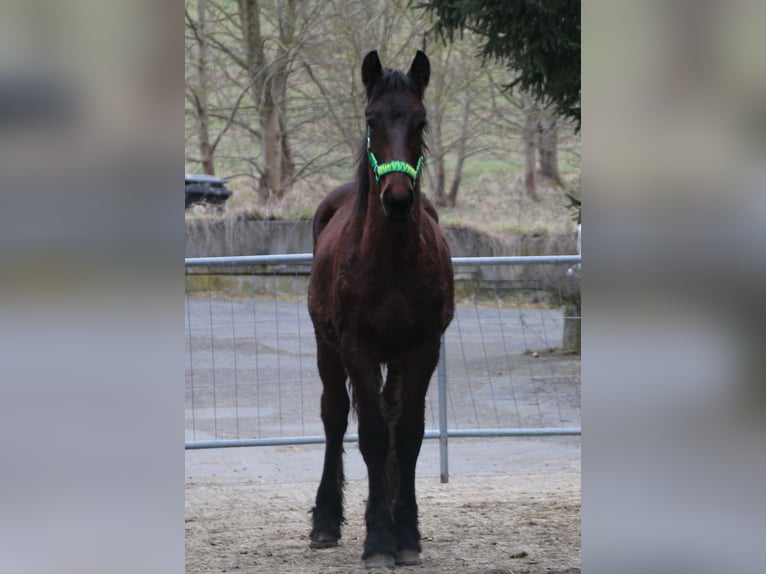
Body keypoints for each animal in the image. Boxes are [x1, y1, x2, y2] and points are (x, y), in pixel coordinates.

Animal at [308, 50, 456, 572]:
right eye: (371, 120)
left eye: (421, 119)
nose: (396, 199)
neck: (389, 261)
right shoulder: (357, 347)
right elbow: (370, 434)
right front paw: (377, 541)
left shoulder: (423, 348)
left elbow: (407, 433)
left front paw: (405, 534)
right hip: (327, 348)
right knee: (334, 417)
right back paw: (326, 522)